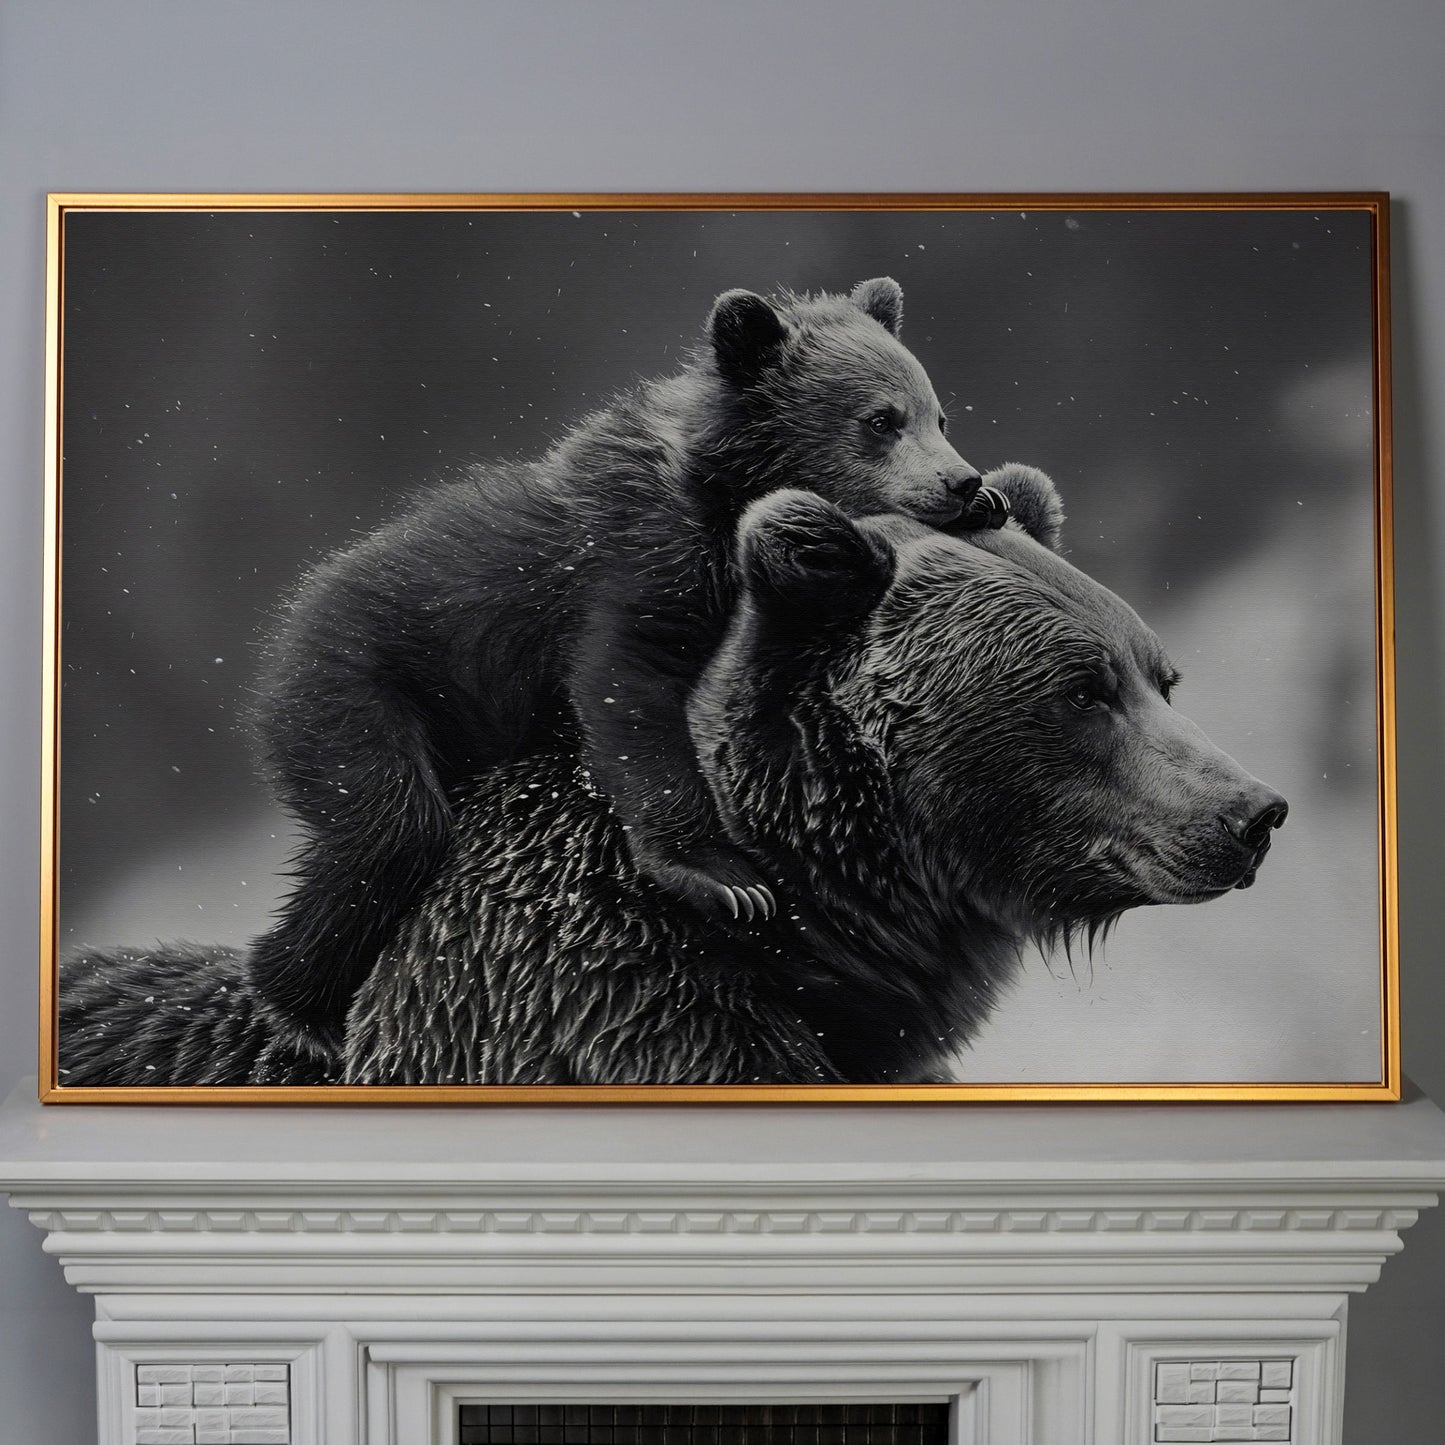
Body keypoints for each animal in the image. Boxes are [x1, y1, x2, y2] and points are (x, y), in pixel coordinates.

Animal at [245, 276, 988, 1051]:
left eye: (938, 412)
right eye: (880, 420)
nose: (962, 482)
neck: (722, 493)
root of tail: (288, 624)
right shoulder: (639, 561)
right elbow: (629, 691)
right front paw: (724, 877)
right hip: (357, 688)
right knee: (389, 831)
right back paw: (301, 1007)